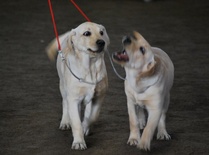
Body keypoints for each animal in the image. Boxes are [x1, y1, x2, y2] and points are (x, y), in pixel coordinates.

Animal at [46, 21, 110, 150]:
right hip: (63, 87)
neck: (91, 67)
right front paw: (79, 142)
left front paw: (86, 126)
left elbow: (92, 116)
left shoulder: (99, 97)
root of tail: (68, 35)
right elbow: (76, 123)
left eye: (101, 32)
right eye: (87, 33)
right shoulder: (74, 99)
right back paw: (65, 122)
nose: (102, 42)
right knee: (65, 103)